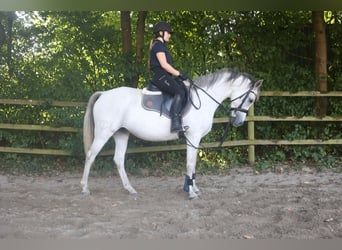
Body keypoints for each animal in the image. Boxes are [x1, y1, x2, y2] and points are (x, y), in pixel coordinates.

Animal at [80, 68, 262, 199]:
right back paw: (84, 188)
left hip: (121, 134)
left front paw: (193, 188)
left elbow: (193, 164)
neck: (204, 100)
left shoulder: (193, 139)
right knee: (90, 155)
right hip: (104, 133)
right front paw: (191, 192)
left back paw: (130, 189)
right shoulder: (193, 137)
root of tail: (104, 94)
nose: (238, 122)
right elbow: (190, 164)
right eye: (251, 100)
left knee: (118, 160)